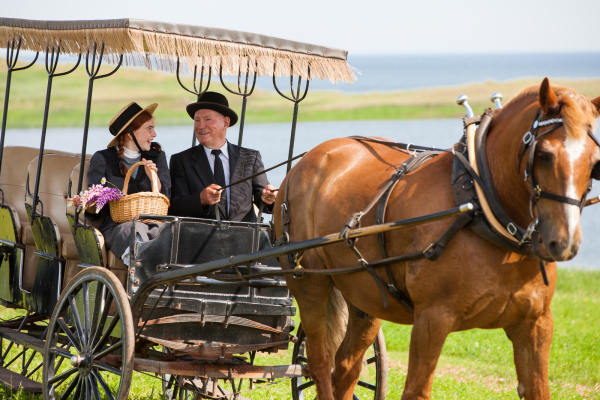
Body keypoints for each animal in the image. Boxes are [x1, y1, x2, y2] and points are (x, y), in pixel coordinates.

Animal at [276, 79, 600, 400]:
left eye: (595, 162)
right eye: (544, 155)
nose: (564, 242)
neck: (481, 207)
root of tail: (309, 159)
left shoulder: (536, 324)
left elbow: (538, 388)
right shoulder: (432, 320)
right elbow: (416, 391)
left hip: (363, 297)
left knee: (345, 367)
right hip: (310, 284)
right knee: (319, 362)